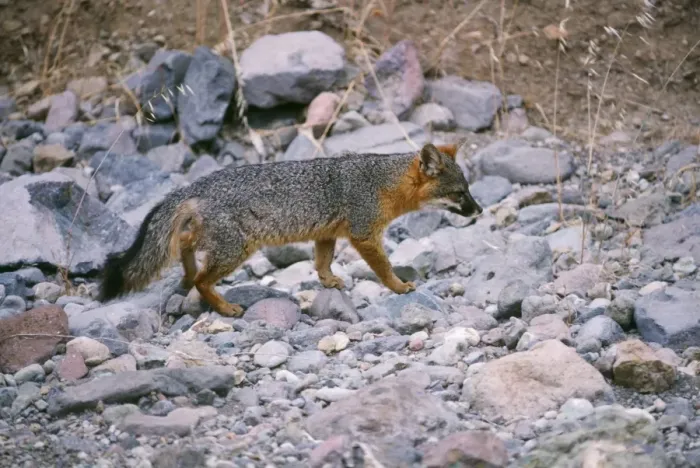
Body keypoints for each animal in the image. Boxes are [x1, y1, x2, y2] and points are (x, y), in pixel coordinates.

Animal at [98, 142, 483, 317]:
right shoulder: (363, 233)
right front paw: (399, 286)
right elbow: (384, 267)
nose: (479, 211)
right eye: (459, 194)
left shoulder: (327, 233)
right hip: (236, 249)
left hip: (217, 242)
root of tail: (196, 185)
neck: (381, 182)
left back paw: (188, 272)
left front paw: (329, 282)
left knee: (186, 245)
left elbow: (322, 262)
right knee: (202, 281)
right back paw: (225, 307)